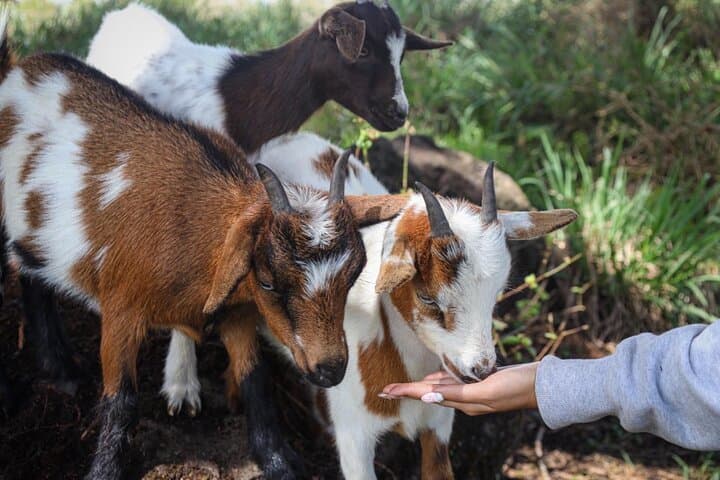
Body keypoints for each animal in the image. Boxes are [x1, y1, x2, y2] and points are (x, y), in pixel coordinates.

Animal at [0, 22, 407, 478]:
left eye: (352, 275)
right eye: (269, 281)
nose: (330, 369)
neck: (193, 235)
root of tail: (23, 67)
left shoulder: (238, 315)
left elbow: (257, 385)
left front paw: (280, 463)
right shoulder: (121, 308)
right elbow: (121, 402)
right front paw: (103, 470)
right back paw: (48, 376)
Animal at [170, 132, 578, 479]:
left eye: (497, 293)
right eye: (427, 297)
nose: (481, 369)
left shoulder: (438, 427)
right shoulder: (354, 438)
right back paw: (181, 386)